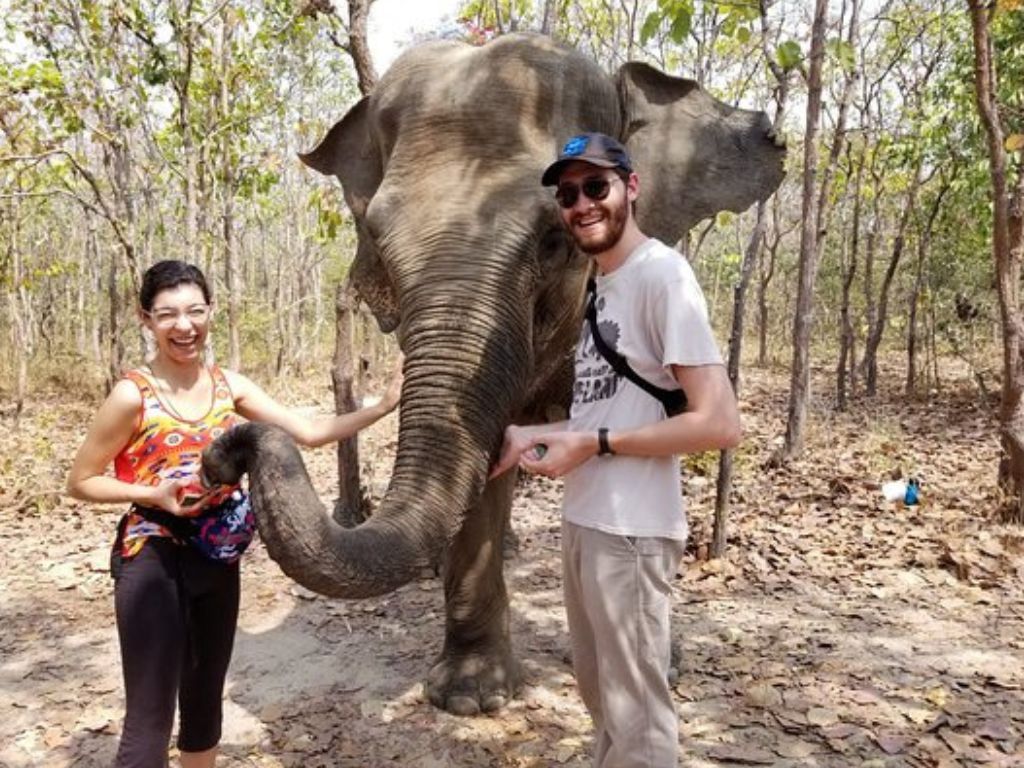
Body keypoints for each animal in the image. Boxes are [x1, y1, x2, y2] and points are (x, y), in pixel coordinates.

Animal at [203, 30, 786, 716]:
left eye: (552, 239)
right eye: (376, 235)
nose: (222, 454)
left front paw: (662, 666)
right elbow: (481, 464)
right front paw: (470, 697)